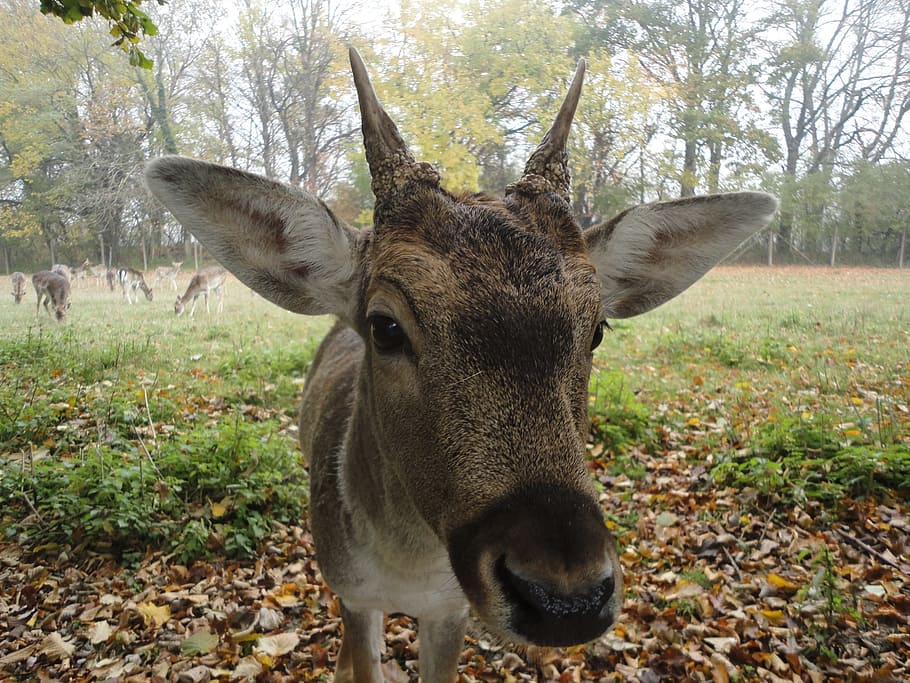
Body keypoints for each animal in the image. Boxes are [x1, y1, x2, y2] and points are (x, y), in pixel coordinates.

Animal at [146, 49, 777, 683]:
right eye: (385, 327)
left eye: (597, 327)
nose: (565, 598)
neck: (408, 566)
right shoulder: (352, 589)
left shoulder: (450, 609)